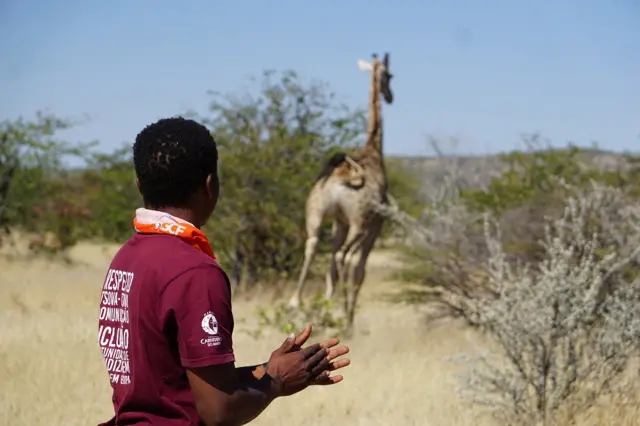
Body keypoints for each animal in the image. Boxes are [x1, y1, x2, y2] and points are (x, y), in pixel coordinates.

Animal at [288, 50, 392, 330]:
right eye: (389, 75)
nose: (390, 96)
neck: (375, 150)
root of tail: (337, 180)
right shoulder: (374, 226)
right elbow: (358, 270)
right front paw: (345, 314)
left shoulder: (338, 222)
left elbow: (331, 271)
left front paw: (328, 304)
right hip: (359, 224)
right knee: (344, 258)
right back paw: (342, 315)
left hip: (316, 213)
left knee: (313, 247)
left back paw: (296, 303)